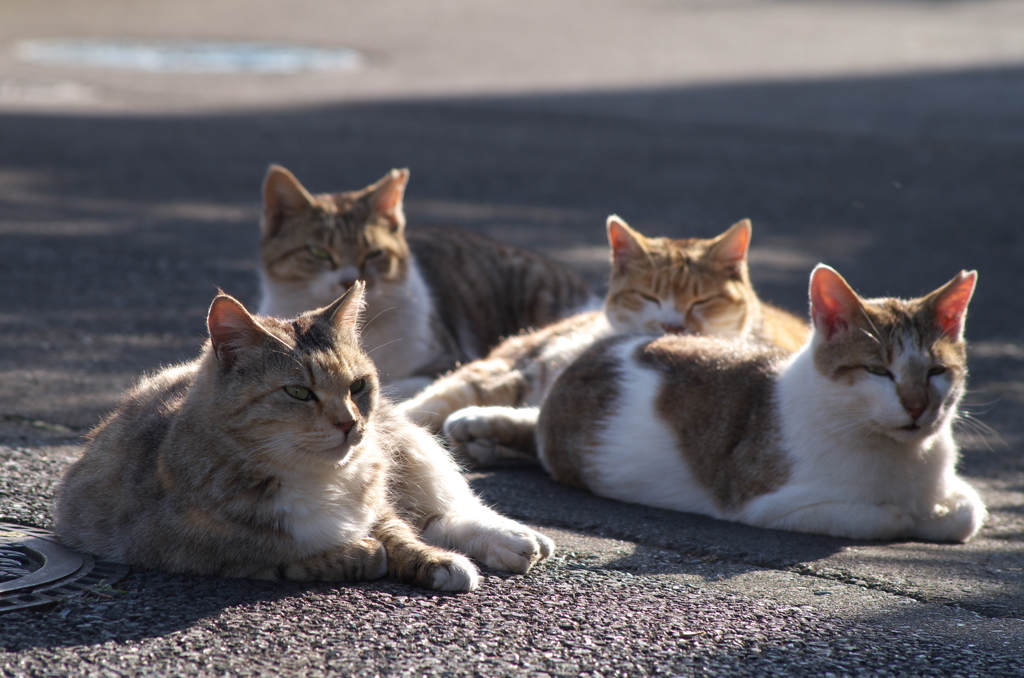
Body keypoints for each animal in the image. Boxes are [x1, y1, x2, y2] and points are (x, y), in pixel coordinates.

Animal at [54, 284, 552, 594]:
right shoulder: (194, 551)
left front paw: (434, 561)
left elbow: (400, 532)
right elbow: (289, 557)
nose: (350, 423)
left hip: (408, 446)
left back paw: (515, 538)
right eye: (298, 392)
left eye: (357, 386)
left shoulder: (376, 501)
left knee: (438, 509)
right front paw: (359, 555)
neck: (315, 477)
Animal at [540, 262, 987, 544]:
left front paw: (937, 514)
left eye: (936, 371)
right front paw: (910, 516)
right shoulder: (767, 505)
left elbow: (969, 511)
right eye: (878, 370)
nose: (917, 406)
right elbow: (884, 517)